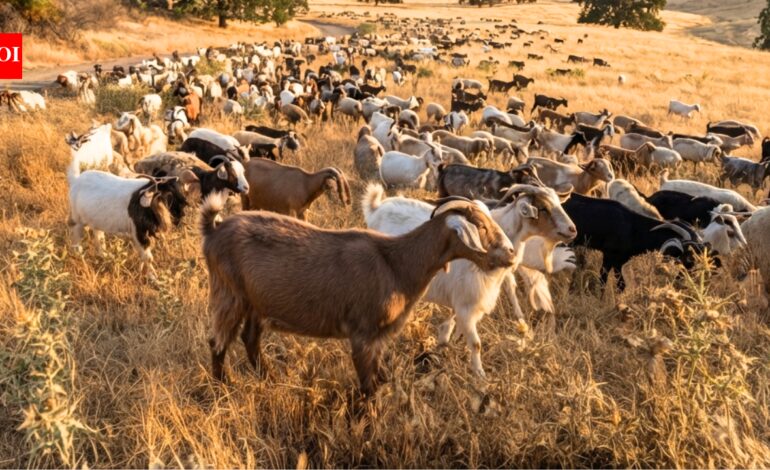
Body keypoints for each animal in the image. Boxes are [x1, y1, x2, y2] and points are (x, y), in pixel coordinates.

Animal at [200, 192, 515, 395]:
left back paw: (269, 378)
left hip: (256, 302)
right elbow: (368, 387)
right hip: (229, 293)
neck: (398, 263)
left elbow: (377, 381)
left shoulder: (379, 337)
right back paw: (224, 386)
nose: (511, 254)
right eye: (481, 226)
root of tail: (214, 231)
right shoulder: (363, 334)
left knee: (250, 339)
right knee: (218, 340)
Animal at [364, 184, 575, 377]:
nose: (572, 230)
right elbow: (476, 342)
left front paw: (447, 343)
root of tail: (377, 207)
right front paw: (480, 376)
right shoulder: (468, 300)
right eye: (543, 208)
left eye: (559, 203)